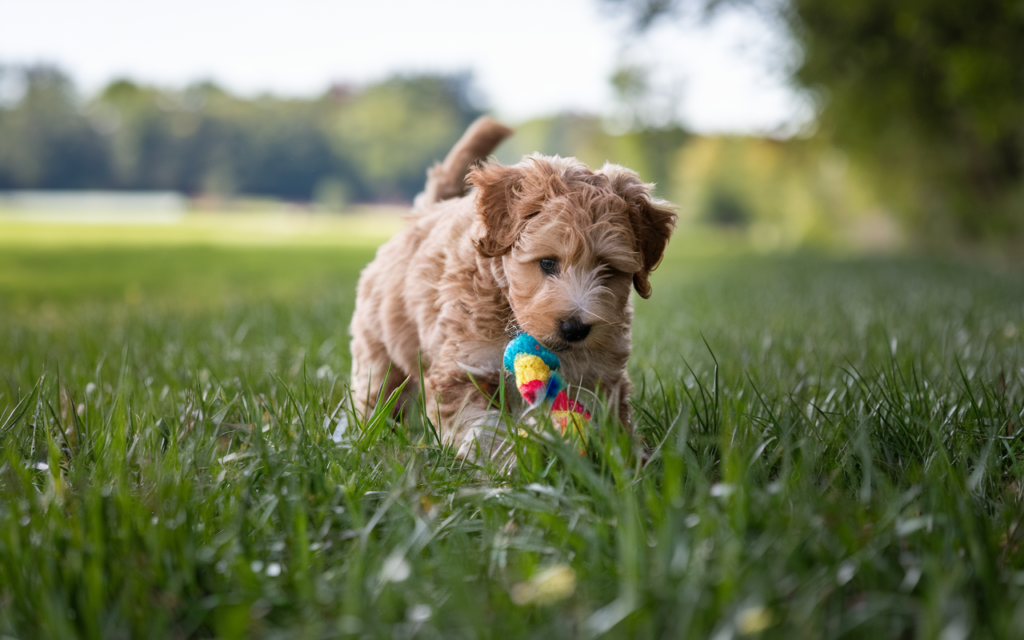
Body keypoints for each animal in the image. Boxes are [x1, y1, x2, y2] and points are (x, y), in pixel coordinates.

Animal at [348, 116, 675, 458]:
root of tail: (425, 213)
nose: (575, 329)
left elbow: (606, 418)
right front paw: (505, 462)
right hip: (377, 347)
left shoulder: (598, 370)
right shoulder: (464, 366)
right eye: (547, 263)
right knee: (378, 390)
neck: (507, 304)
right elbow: (483, 428)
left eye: (608, 270)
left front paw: (629, 459)